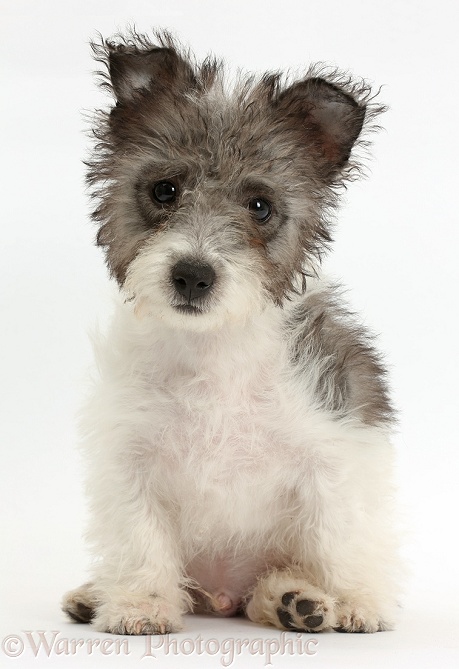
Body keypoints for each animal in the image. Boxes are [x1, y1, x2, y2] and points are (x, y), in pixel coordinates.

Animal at [63, 31, 400, 636]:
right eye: (165, 190)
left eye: (259, 206)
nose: (193, 275)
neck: (215, 349)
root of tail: (220, 597)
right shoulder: (129, 458)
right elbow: (139, 538)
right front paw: (140, 604)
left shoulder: (336, 447)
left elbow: (341, 534)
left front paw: (356, 599)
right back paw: (94, 594)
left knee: (274, 582)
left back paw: (297, 600)